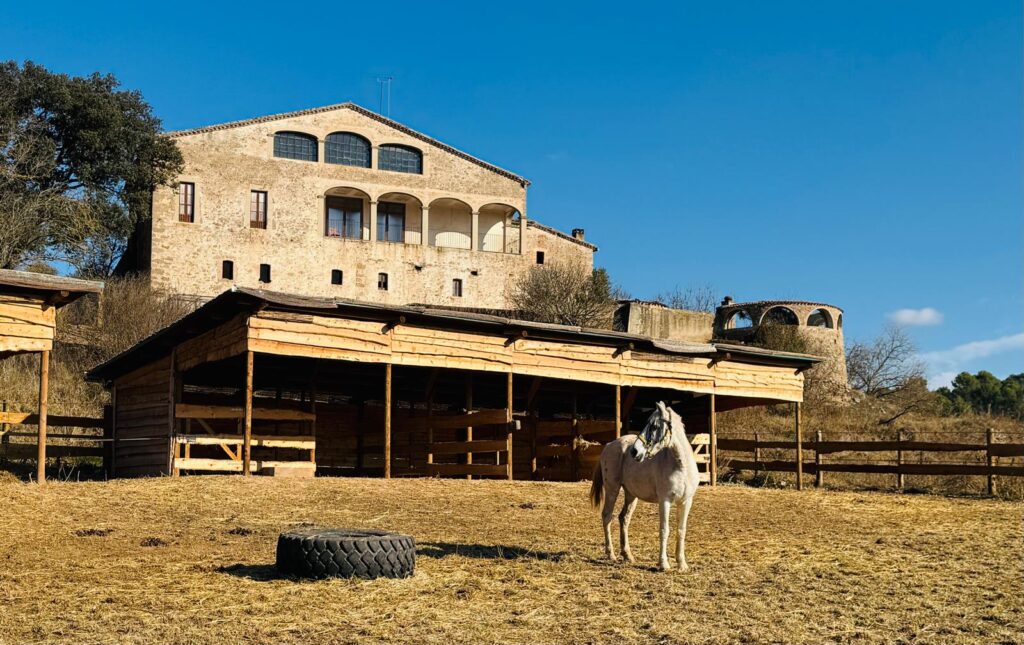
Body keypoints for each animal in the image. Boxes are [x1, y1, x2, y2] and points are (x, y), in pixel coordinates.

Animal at [589, 401, 700, 572]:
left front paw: (682, 564)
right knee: (607, 516)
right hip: (612, 489)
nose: (635, 451)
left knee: (624, 518)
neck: (681, 467)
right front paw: (663, 564)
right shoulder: (665, 501)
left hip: (631, 495)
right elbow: (664, 530)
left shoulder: (686, 501)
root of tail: (609, 445)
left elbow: (681, 531)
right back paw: (611, 554)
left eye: (654, 426)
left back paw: (627, 555)